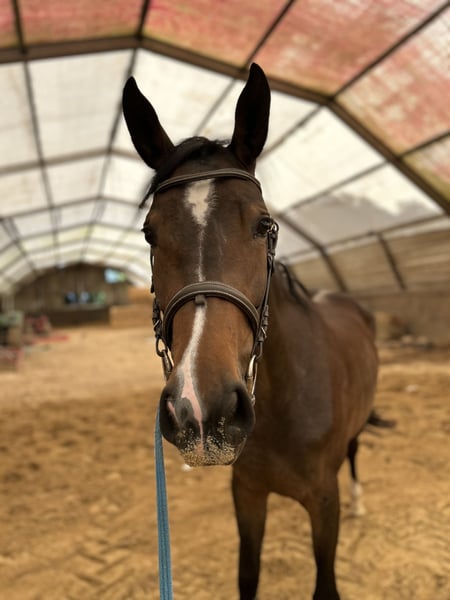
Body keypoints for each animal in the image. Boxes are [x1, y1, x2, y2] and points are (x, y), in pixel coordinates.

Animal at [122, 63, 379, 600]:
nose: (201, 410)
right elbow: (248, 578)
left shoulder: (324, 502)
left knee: (355, 449)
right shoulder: (246, 494)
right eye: (150, 233)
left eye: (263, 225)